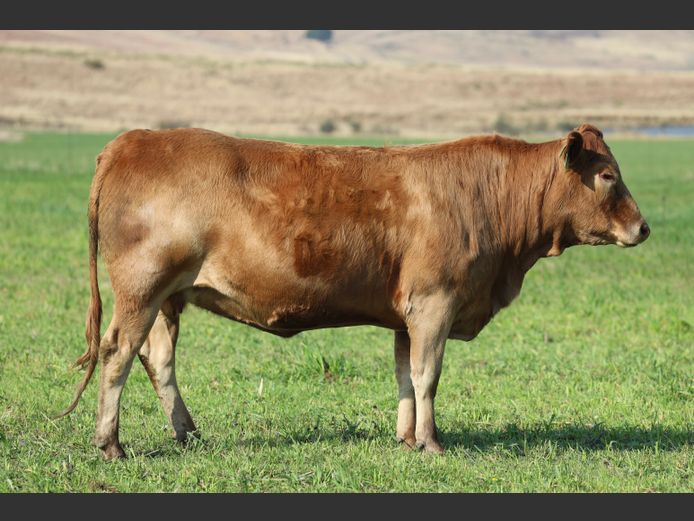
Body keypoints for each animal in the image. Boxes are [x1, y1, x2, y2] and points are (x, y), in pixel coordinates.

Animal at [56, 123, 650, 459]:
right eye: (607, 176)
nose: (643, 228)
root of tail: (133, 140)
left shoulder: (407, 315)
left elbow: (407, 377)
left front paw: (408, 439)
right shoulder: (435, 302)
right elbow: (428, 376)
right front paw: (432, 444)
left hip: (166, 299)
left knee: (158, 360)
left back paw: (186, 434)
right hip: (142, 289)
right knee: (117, 355)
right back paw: (110, 444)